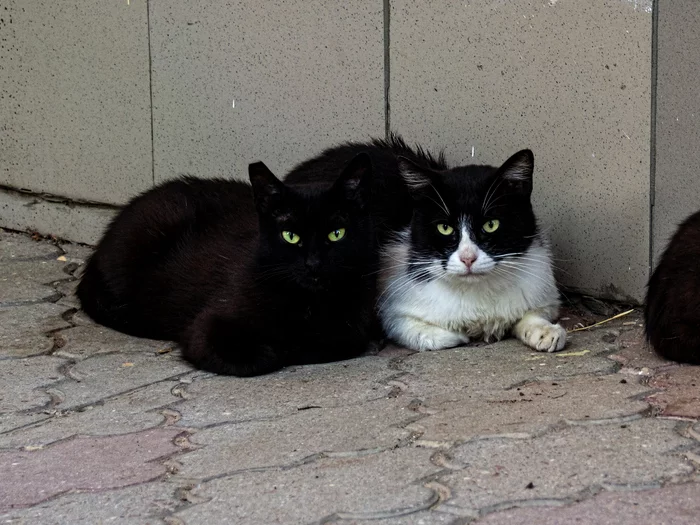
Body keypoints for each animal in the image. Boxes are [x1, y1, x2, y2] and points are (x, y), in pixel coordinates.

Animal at [76, 154, 378, 374]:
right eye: (290, 236)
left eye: (337, 233)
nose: (313, 264)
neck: (308, 305)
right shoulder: (204, 329)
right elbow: (260, 357)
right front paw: (277, 347)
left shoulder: (353, 330)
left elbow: (330, 341)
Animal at [288, 137, 568, 354]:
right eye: (444, 228)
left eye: (491, 225)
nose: (467, 258)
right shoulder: (393, 310)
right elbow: (423, 333)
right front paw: (459, 334)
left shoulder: (543, 292)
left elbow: (532, 313)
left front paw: (546, 332)